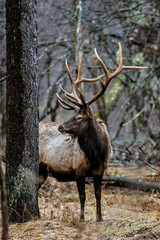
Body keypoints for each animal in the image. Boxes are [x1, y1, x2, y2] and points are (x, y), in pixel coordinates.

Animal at [38, 43, 146, 221]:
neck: (97, 153)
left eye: (79, 117)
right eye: (74, 114)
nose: (60, 127)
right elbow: (82, 196)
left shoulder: (100, 170)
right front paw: (82, 218)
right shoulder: (79, 170)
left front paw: (99, 218)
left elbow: (98, 194)